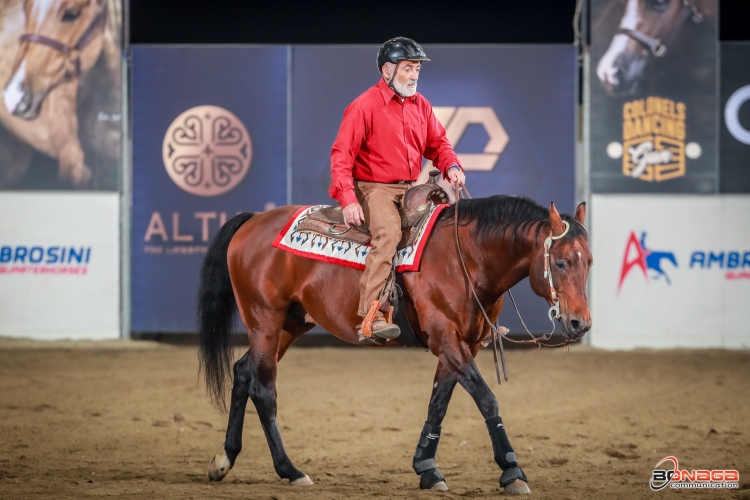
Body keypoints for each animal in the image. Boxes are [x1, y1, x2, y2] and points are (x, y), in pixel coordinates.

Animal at [198, 194, 592, 492]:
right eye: (559, 262)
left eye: (588, 261)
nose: (580, 323)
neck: (464, 258)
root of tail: (252, 221)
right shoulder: (446, 338)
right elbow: (486, 399)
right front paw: (512, 470)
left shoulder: (461, 344)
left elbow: (439, 402)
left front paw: (427, 467)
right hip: (265, 320)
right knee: (264, 388)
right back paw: (290, 470)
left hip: (289, 324)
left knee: (243, 371)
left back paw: (225, 459)